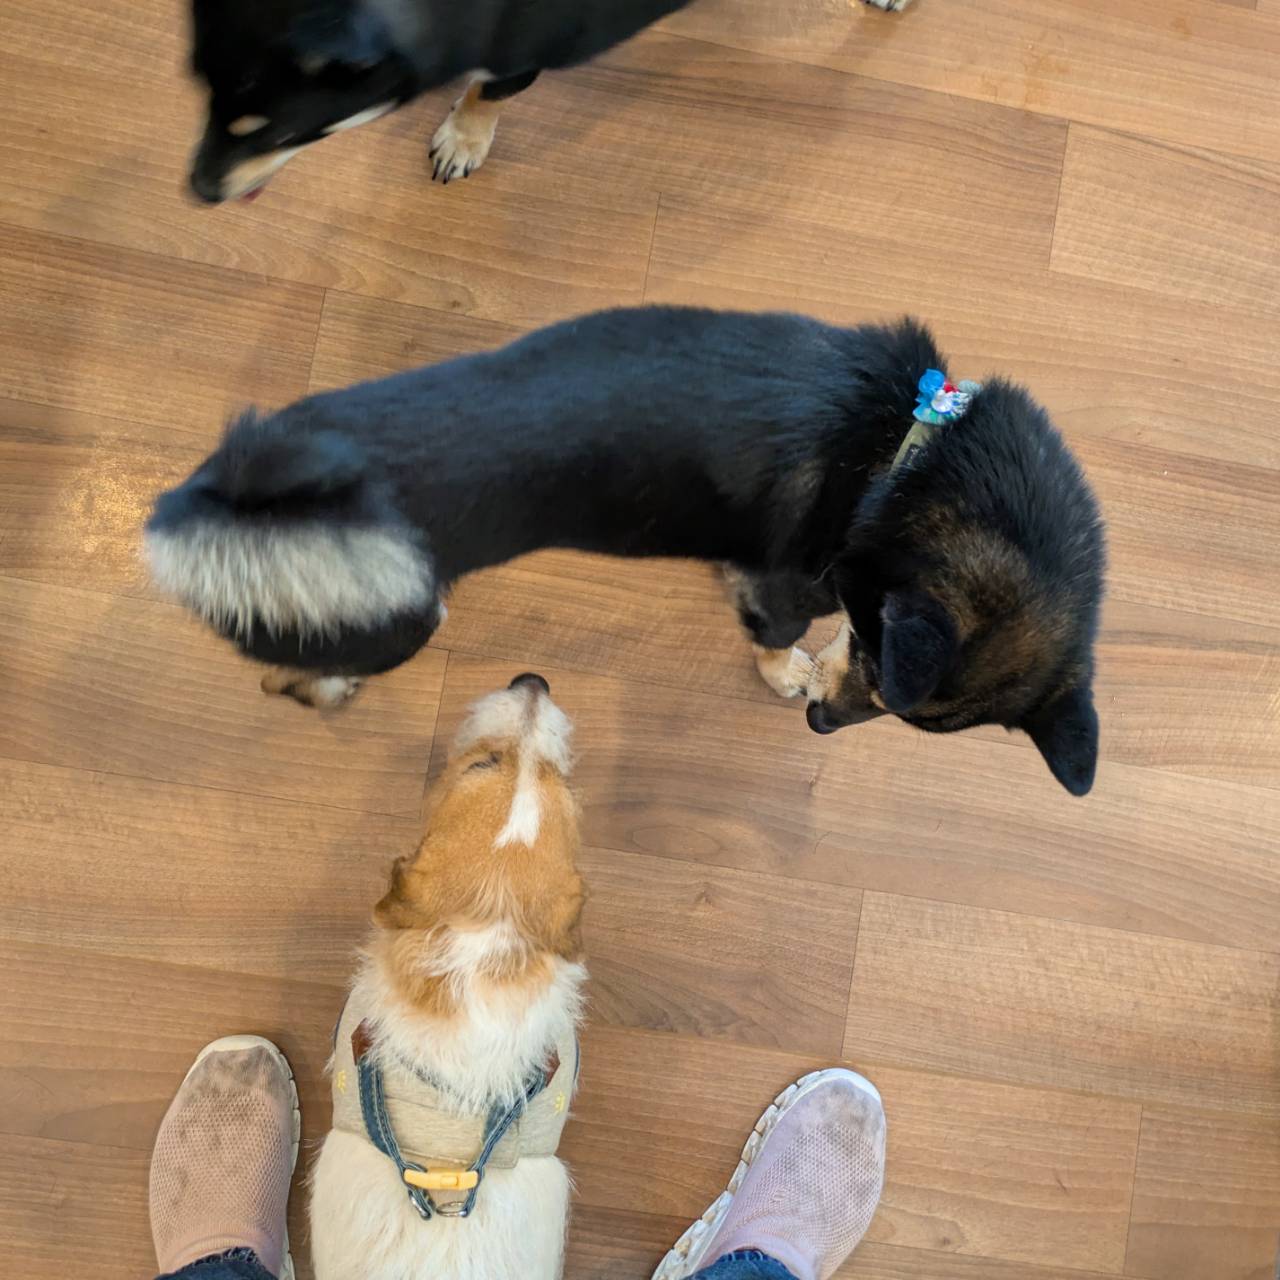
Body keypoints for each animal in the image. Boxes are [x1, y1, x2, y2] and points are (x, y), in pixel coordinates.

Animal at [144, 306, 1106, 795]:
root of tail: (203, 510)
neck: (907, 452)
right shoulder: (786, 591)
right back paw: (327, 688)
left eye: (920, 726)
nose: (818, 728)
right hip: (400, 618)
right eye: (871, 659)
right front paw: (786, 674)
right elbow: (776, 641)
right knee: (287, 677)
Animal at [186, 0, 915, 202]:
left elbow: (491, 90)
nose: (198, 191)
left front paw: (464, 139)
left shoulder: (527, 48)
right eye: (199, 97)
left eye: (279, 135)